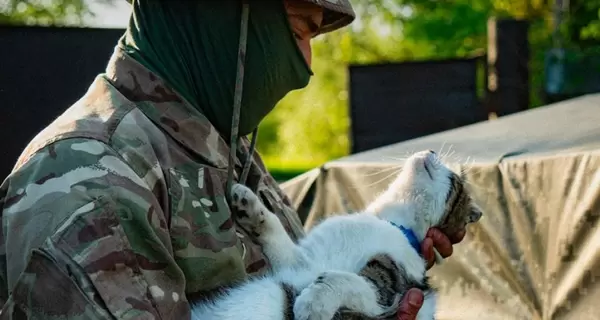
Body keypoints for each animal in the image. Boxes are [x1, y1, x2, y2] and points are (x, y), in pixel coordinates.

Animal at [191, 150, 482, 320]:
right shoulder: (298, 261)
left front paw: (312, 303)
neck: (389, 222)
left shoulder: (388, 292)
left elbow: (344, 280)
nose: (430, 150)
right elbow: (276, 233)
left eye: (454, 179)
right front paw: (249, 205)